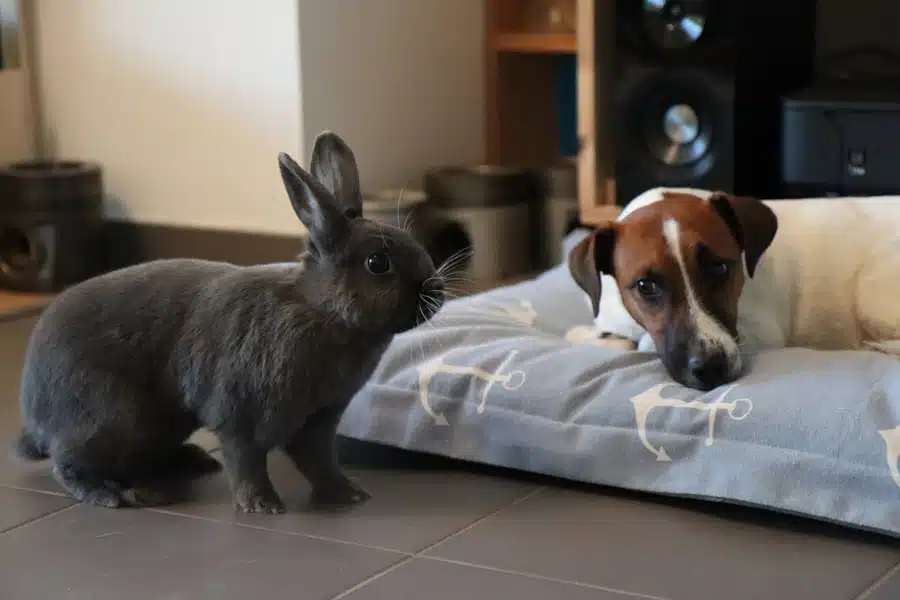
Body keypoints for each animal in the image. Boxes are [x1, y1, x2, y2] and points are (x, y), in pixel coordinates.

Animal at [13, 131, 445, 514]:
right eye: (378, 263)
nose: (437, 290)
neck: (319, 312)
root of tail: (33, 411)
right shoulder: (241, 417)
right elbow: (247, 463)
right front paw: (261, 506)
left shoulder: (316, 422)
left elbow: (320, 463)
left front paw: (348, 495)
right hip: (110, 417)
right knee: (68, 464)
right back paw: (112, 495)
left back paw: (194, 461)